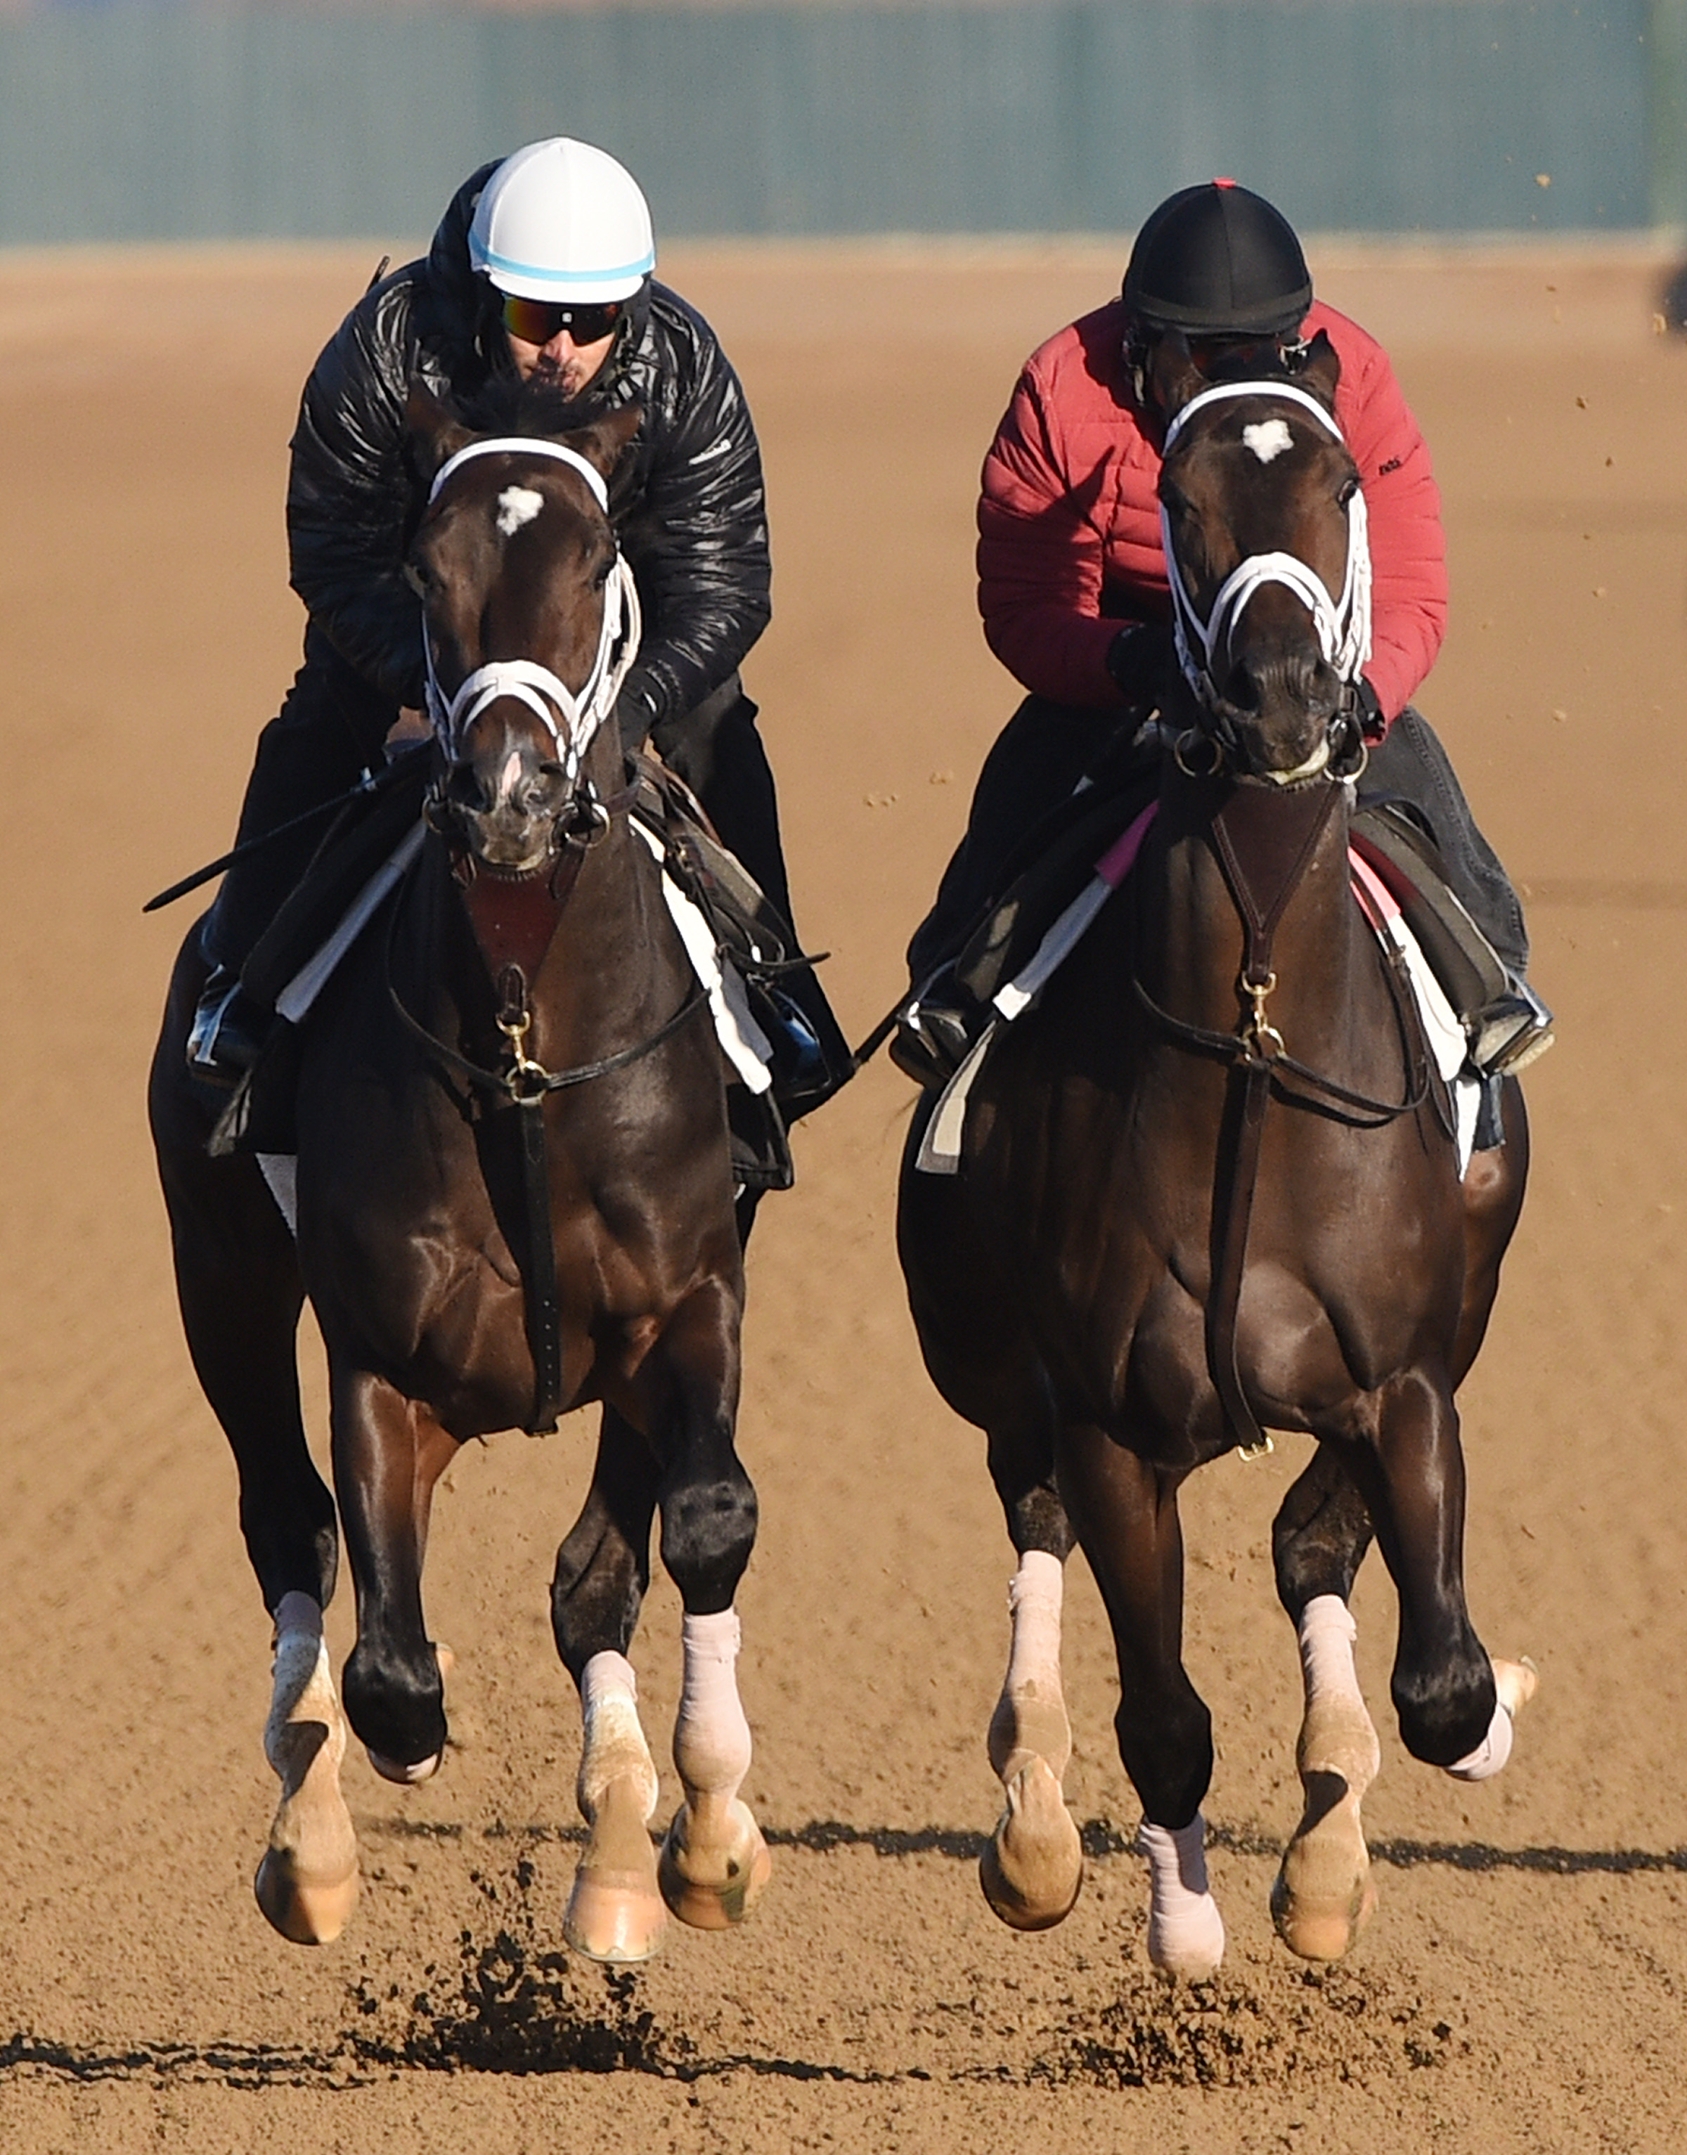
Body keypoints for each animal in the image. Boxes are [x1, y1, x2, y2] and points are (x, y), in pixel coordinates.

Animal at [151, 379, 771, 1965]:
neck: (524, 1043)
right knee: (288, 1523)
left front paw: (700, 1842)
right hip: (221, 1279)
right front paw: (377, 1779)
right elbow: (389, 1664)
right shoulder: (383, 1359)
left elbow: (691, 1527)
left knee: (593, 1573)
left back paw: (621, 1854)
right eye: (424, 566)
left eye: (599, 555)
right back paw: (309, 1844)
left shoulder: (689, 1298)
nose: (504, 795)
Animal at [904, 331, 1534, 1973]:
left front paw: (1351, 1832)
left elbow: (1433, 1675)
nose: (1277, 697)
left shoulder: (1402, 1377)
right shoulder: (1111, 1418)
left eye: (1343, 480)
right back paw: (1034, 1822)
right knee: (1034, 1517)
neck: (1251, 1030)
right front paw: (1181, 1923)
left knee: (1312, 1558)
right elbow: (1165, 1713)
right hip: (990, 1362)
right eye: (1177, 495)